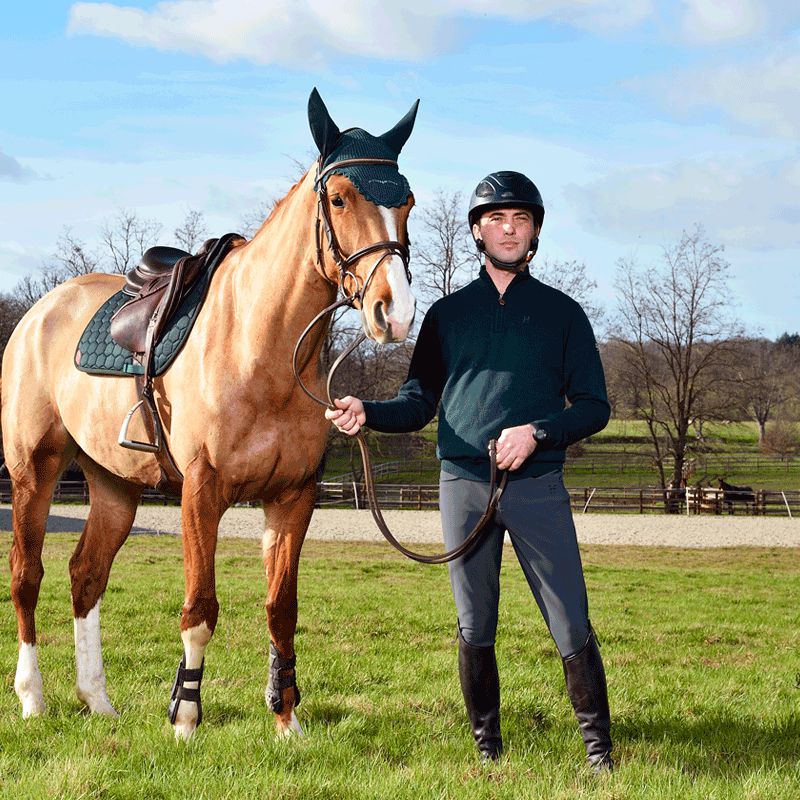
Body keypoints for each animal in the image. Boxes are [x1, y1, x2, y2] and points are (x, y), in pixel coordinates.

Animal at [0, 89, 418, 739]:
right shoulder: (202, 492)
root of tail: (40, 313)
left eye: (407, 201)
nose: (393, 312)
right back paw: (32, 699)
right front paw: (186, 719)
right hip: (33, 470)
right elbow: (200, 609)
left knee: (86, 575)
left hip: (113, 485)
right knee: (27, 574)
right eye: (339, 198)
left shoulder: (293, 496)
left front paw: (287, 721)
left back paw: (98, 700)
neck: (260, 345)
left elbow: (280, 608)